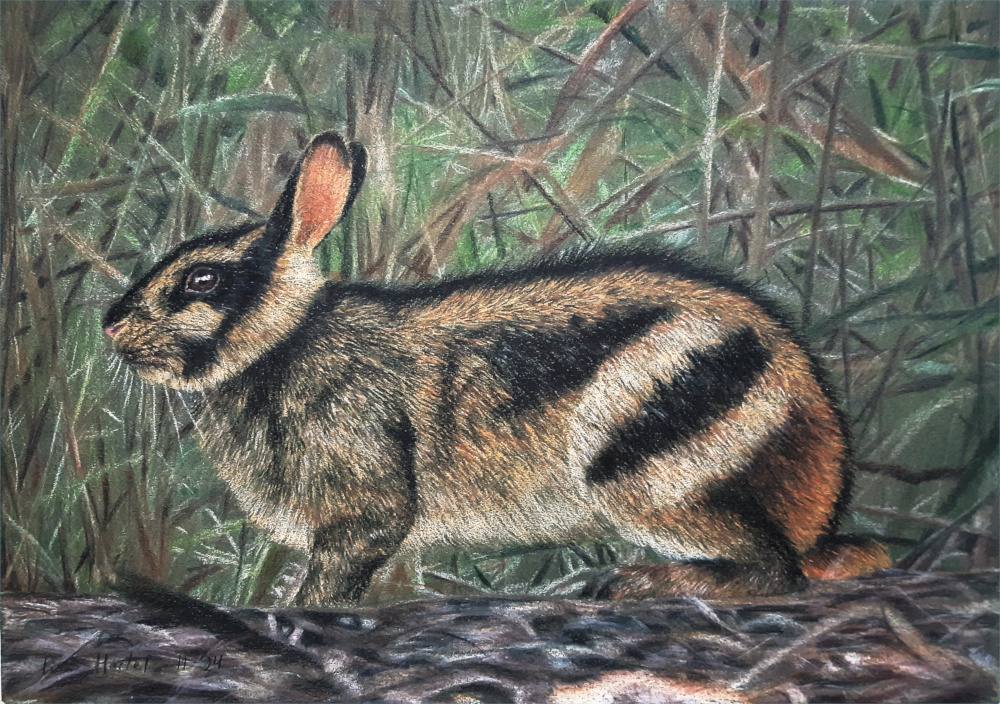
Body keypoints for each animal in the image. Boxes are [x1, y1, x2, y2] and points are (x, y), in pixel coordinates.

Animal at [104, 131, 889, 605]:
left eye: (201, 281)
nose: (108, 325)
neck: (282, 341)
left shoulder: (361, 496)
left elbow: (340, 571)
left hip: (646, 470)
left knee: (773, 572)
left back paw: (639, 584)